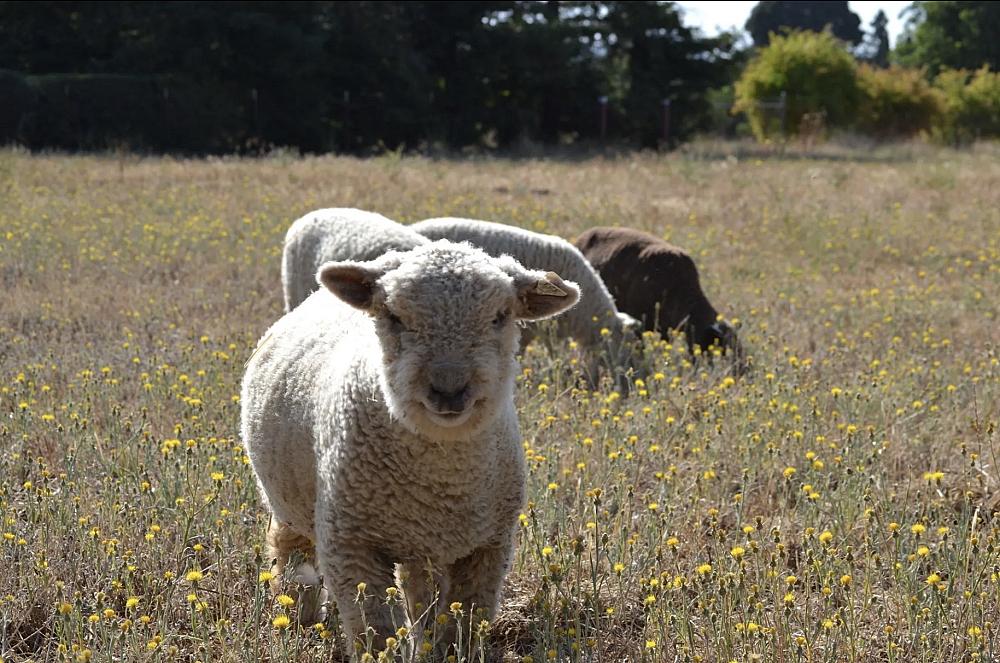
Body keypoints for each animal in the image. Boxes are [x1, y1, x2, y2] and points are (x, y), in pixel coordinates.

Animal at [241, 240, 580, 654]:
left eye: (501, 316)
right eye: (394, 316)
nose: (449, 389)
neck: (440, 479)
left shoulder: (488, 547)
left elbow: (461, 627)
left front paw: (443, 651)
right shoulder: (351, 545)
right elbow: (374, 632)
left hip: (420, 545)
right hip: (289, 499)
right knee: (289, 549)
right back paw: (297, 618)